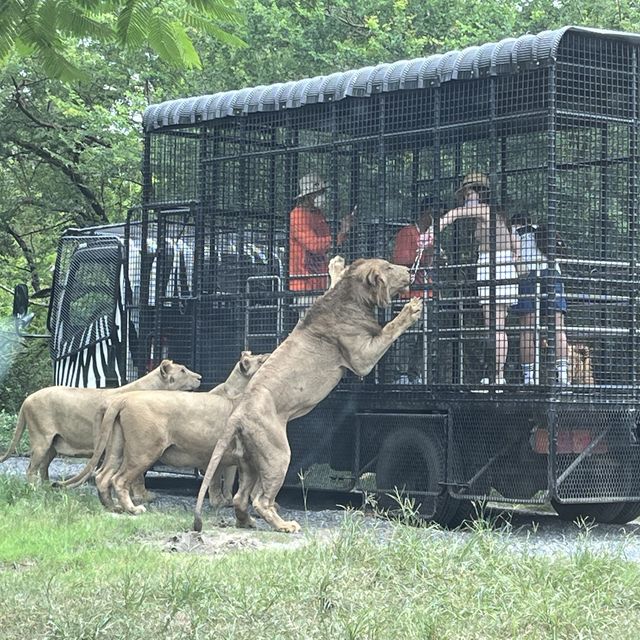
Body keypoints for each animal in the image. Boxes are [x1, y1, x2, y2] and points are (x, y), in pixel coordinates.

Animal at [195, 256, 424, 536]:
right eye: (389, 267)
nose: (410, 270)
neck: (350, 297)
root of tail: (237, 413)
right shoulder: (362, 359)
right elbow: (390, 330)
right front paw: (411, 309)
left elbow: (335, 278)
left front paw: (336, 264)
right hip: (278, 454)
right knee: (260, 500)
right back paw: (285, 526)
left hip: (250, 461)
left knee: (241, 498)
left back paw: (246, 522)